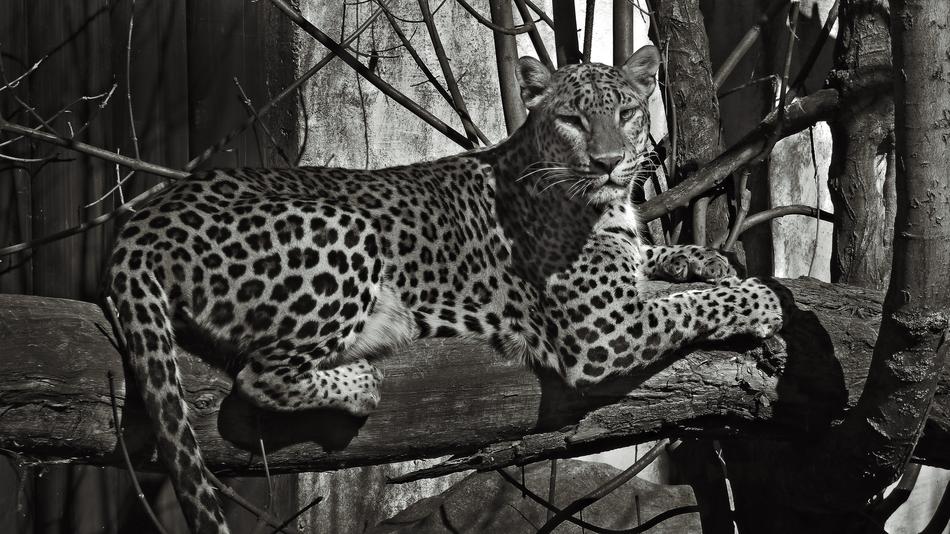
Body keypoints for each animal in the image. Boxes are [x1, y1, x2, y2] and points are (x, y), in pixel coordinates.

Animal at [108, 46, 784, 534]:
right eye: (572, 119)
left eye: (625, 113)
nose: (609, 163)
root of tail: (145, 218)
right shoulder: (601, 334)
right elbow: (687, 307)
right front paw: (760, 299)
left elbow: (655, 260)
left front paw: (708, 259)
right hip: (346, 229)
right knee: (259, 376)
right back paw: (363, 377)